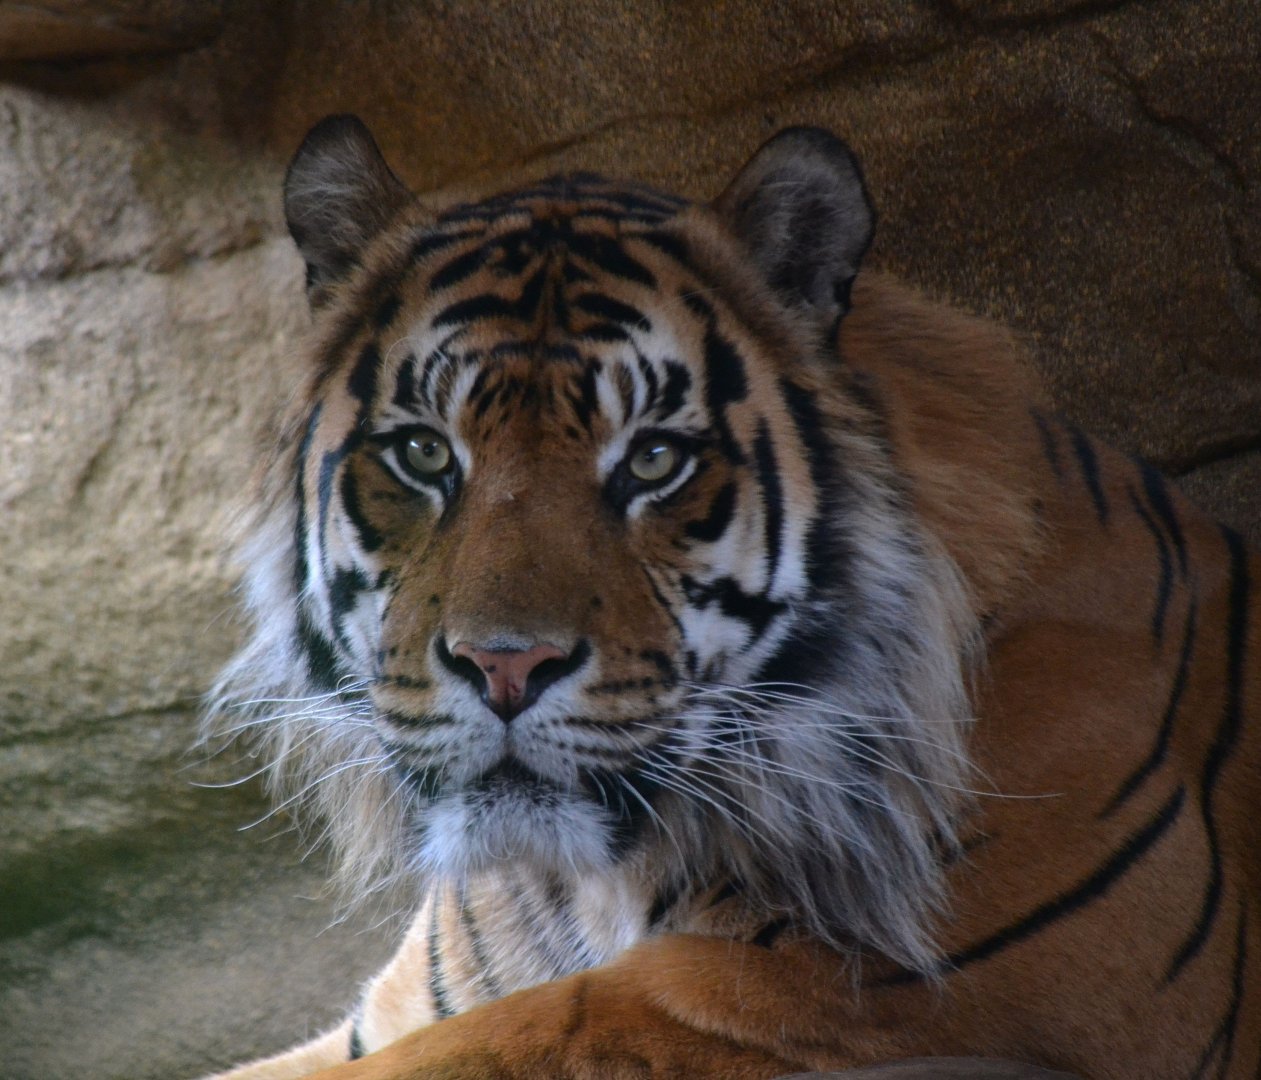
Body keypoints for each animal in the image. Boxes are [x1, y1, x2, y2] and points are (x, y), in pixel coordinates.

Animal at [199, 115, 1261, 1080]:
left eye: (653, 460)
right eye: (423, 452)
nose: (505, 665)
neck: (582, 882)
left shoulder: (843, 995)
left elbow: (534, 1034)